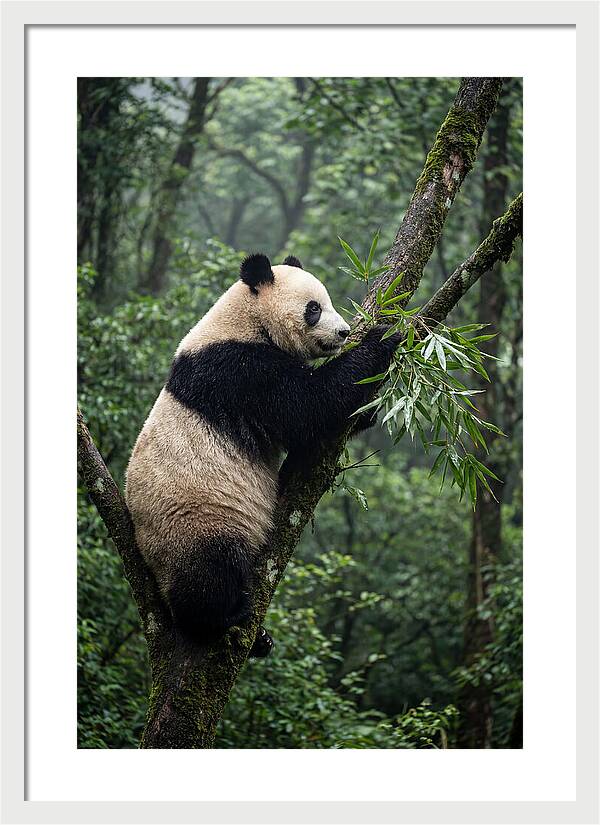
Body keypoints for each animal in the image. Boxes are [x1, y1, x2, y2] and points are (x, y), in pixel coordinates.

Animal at [125, 253, 401, 657]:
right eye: (314, 309)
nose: (344, 332)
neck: (245, 320)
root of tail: (150, 564)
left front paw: (367, 410)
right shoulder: (238, 370)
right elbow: (308, 406)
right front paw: (382, 338)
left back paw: (261, 639)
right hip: (194, 520)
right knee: (209, 572)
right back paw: (223, 617)